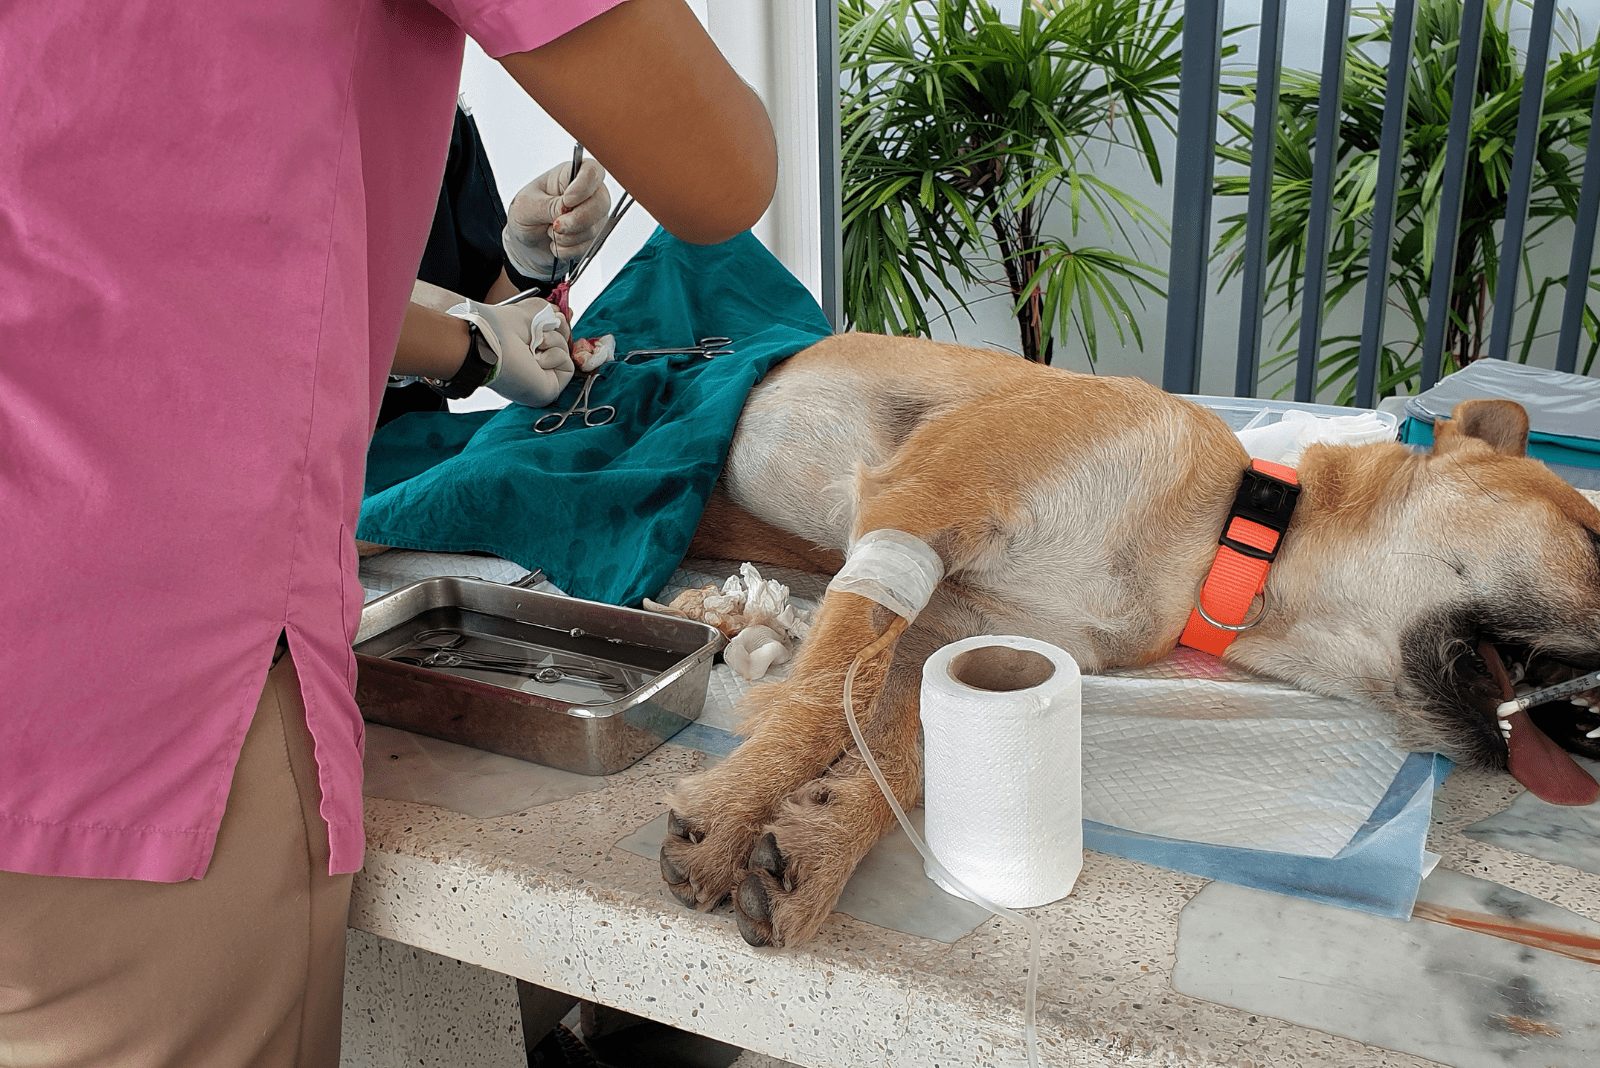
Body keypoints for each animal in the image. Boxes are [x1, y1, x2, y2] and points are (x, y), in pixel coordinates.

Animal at [659, 335, 1600, 952]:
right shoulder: (922, 501)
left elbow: (892, 747)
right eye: (1593, 535)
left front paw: (815, 845)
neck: (1216, 550)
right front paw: (732, 812)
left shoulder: (952, 633)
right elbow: (828, 700)